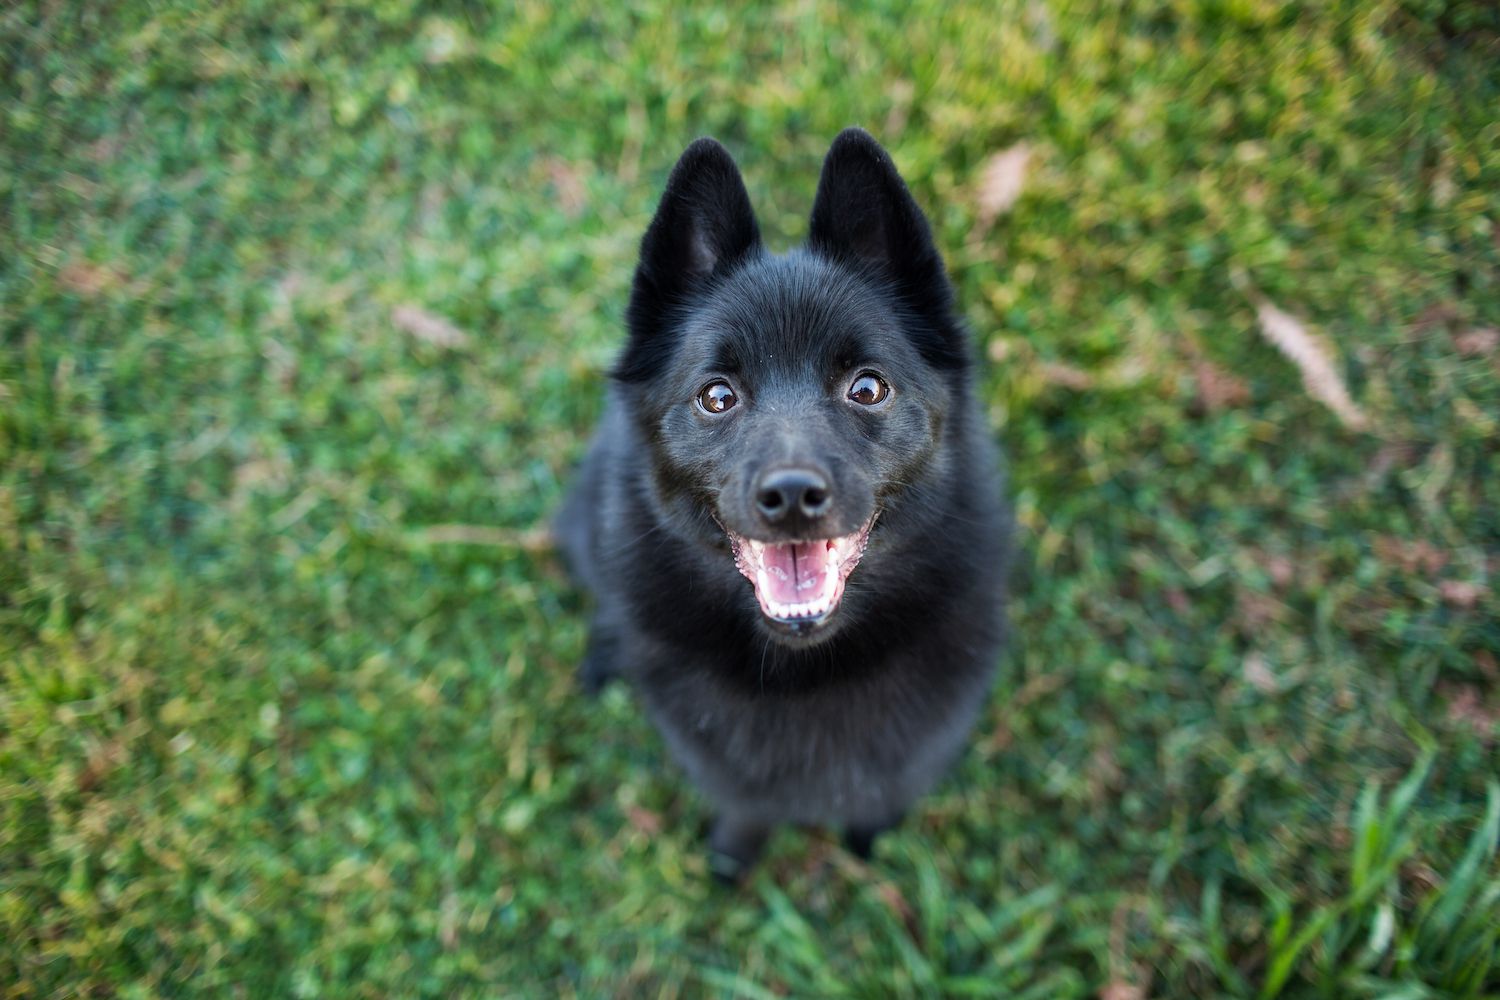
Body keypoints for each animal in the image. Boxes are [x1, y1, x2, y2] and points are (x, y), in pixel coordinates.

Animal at [558, 127, 1014, 881]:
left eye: (868, 387)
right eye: (717, 395)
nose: (792, 496)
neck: (809, 670)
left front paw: (868, 837)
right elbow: (747, 807)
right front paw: (733, 857)